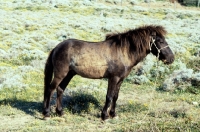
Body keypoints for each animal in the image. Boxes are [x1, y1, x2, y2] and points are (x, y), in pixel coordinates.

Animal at [43, 25, 174, 120]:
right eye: (160, 41)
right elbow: (109, 96)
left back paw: (60, 112)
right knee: (50, 89)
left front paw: (113, 114)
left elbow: (115, 96)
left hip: (69, 74)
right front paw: (105, 116)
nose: (171, 58)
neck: (123, 52)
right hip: (60, 74)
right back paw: (47, 114)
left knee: (60, 89)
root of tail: (56, 48)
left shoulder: (120, 79)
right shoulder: (113, 78)